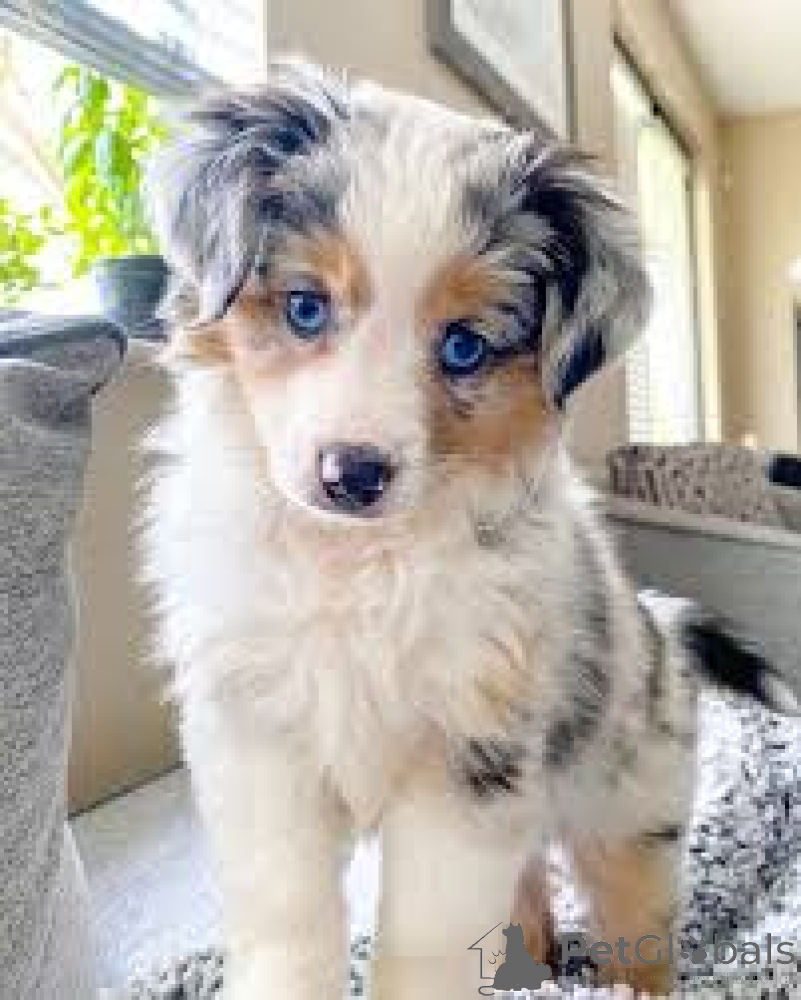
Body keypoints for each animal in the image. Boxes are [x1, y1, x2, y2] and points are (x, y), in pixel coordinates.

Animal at [142, 59, 797, 998]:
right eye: (304, 308)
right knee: (524, 885)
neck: (357, 565)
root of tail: (660, 624)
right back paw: (530, 966)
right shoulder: (261, 739)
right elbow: (286, 919)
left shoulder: (467, 764)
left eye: (462, 347)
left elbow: (424, 942)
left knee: (635, 924)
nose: (352, 475)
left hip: (628, 805)